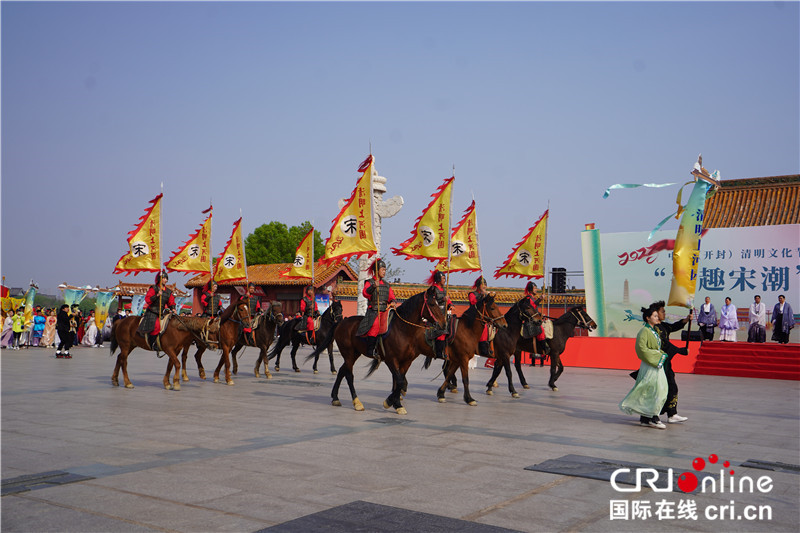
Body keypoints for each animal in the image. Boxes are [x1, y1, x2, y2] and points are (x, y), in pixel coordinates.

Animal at [306, 284, 446, 414]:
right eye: (432, 304)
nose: (443, 324)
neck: (403, 330)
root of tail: (341, 322)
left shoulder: (406, 361)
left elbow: (399, 381)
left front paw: (396, 404)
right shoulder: (391, 359)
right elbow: (400, 381)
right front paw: (389, 402)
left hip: (355, 353)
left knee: (342, 371)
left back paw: (335, 398)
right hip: (348, 353)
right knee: (349, 375)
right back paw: (357, 402)